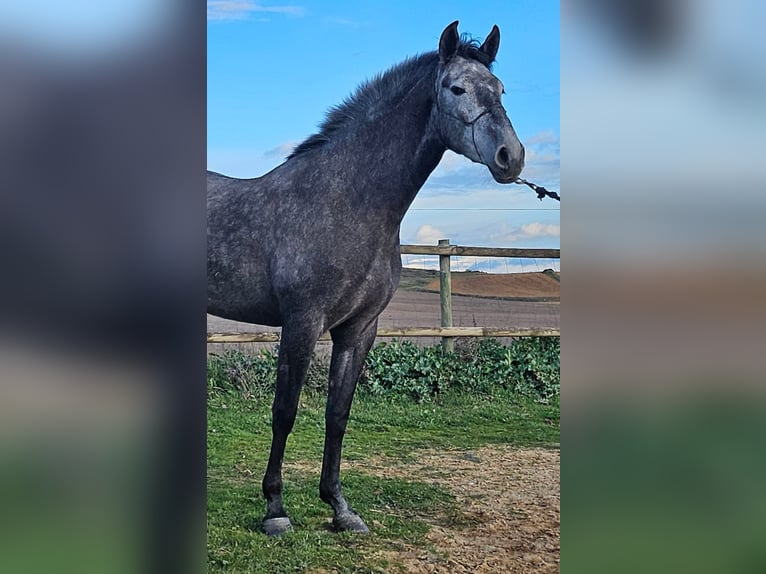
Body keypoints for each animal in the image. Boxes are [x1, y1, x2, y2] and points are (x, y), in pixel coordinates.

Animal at [207, 20, 524, 536]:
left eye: (499, 90)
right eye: (455, 88)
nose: (510, 157)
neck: (348, 202)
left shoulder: (359, 330)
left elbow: (338, 415)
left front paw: (339, 507)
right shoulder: (302, 323)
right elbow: (284, 412)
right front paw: (275, 508)